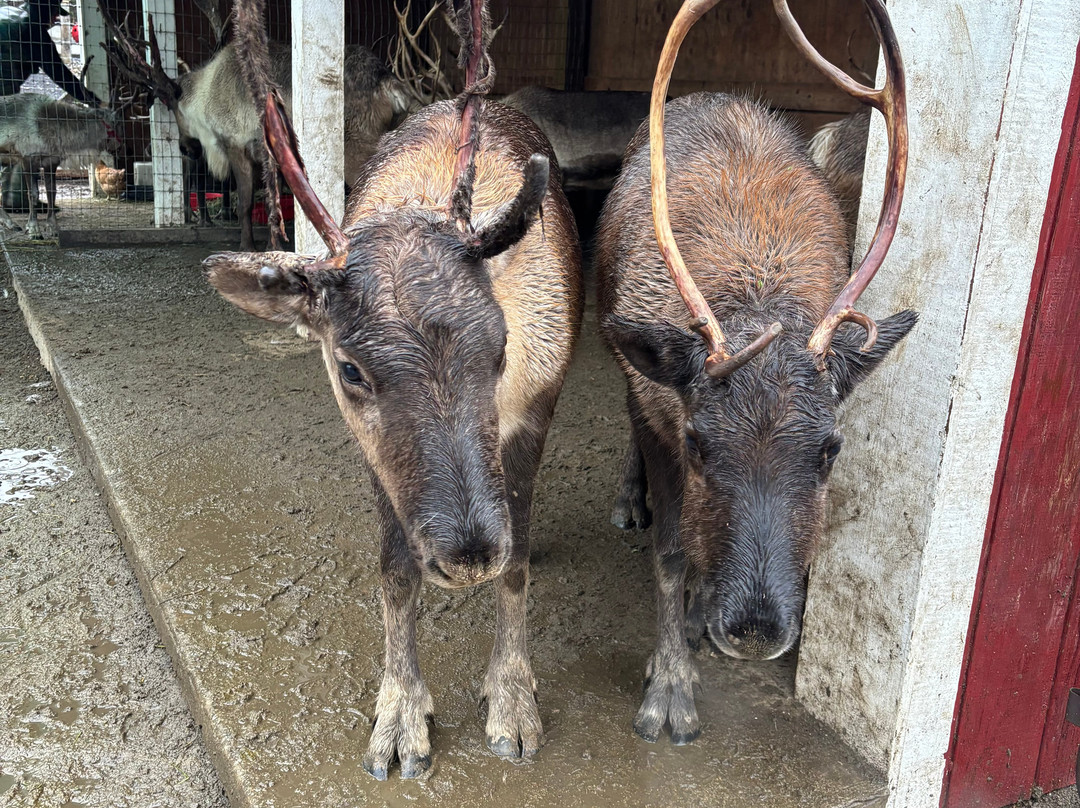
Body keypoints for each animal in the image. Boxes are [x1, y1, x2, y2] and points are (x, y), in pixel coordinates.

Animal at [0, 92, 121, 239]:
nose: (119, 147)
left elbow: (52, 192)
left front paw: (52, 227)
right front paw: (34, 229)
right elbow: (33, 194)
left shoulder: (51, 162)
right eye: (113, 124)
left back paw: (10, 223)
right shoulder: (27, 158)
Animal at [102, 9, 413, 250]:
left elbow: (245, 203)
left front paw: (247, 246)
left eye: (172, 107)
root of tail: (388, 81)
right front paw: (274, 246)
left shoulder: (236, 145)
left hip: (357, 146)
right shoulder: (268, 154)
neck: (205, 94)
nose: (185, 148)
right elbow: (272, 206)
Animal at [205, 0, 582, 779]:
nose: (467, 555)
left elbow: (519, 563)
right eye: (350, 369)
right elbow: (395, 572)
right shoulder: (374, 453)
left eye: (501, 348)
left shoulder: (535, 410)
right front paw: (402, 715)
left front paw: (511, 700)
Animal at [596, 0, 915, 745]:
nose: (754, 628)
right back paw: (630, 501)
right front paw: (670, 690)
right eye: (698, 444)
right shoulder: (660, 411)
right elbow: (672, 551)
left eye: (831, 449)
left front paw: (697, 621)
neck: (757, 285)